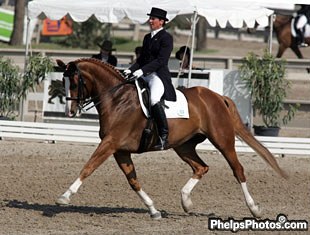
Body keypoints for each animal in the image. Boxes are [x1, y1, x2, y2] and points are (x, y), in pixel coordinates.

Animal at [55, 58, 286, 218]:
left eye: (74, 83)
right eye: (63, 82)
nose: (69, 111)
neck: (118, 100)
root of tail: (218, 97)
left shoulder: (110, 144)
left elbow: (88, 167)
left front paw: (64, 197)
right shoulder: (120, 150)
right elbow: (133, 181)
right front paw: (153, 209)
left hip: (223, 141)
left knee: (237, 170)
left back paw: (254, 209)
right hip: (183, 146)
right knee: (201, 167)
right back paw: (186, 202)